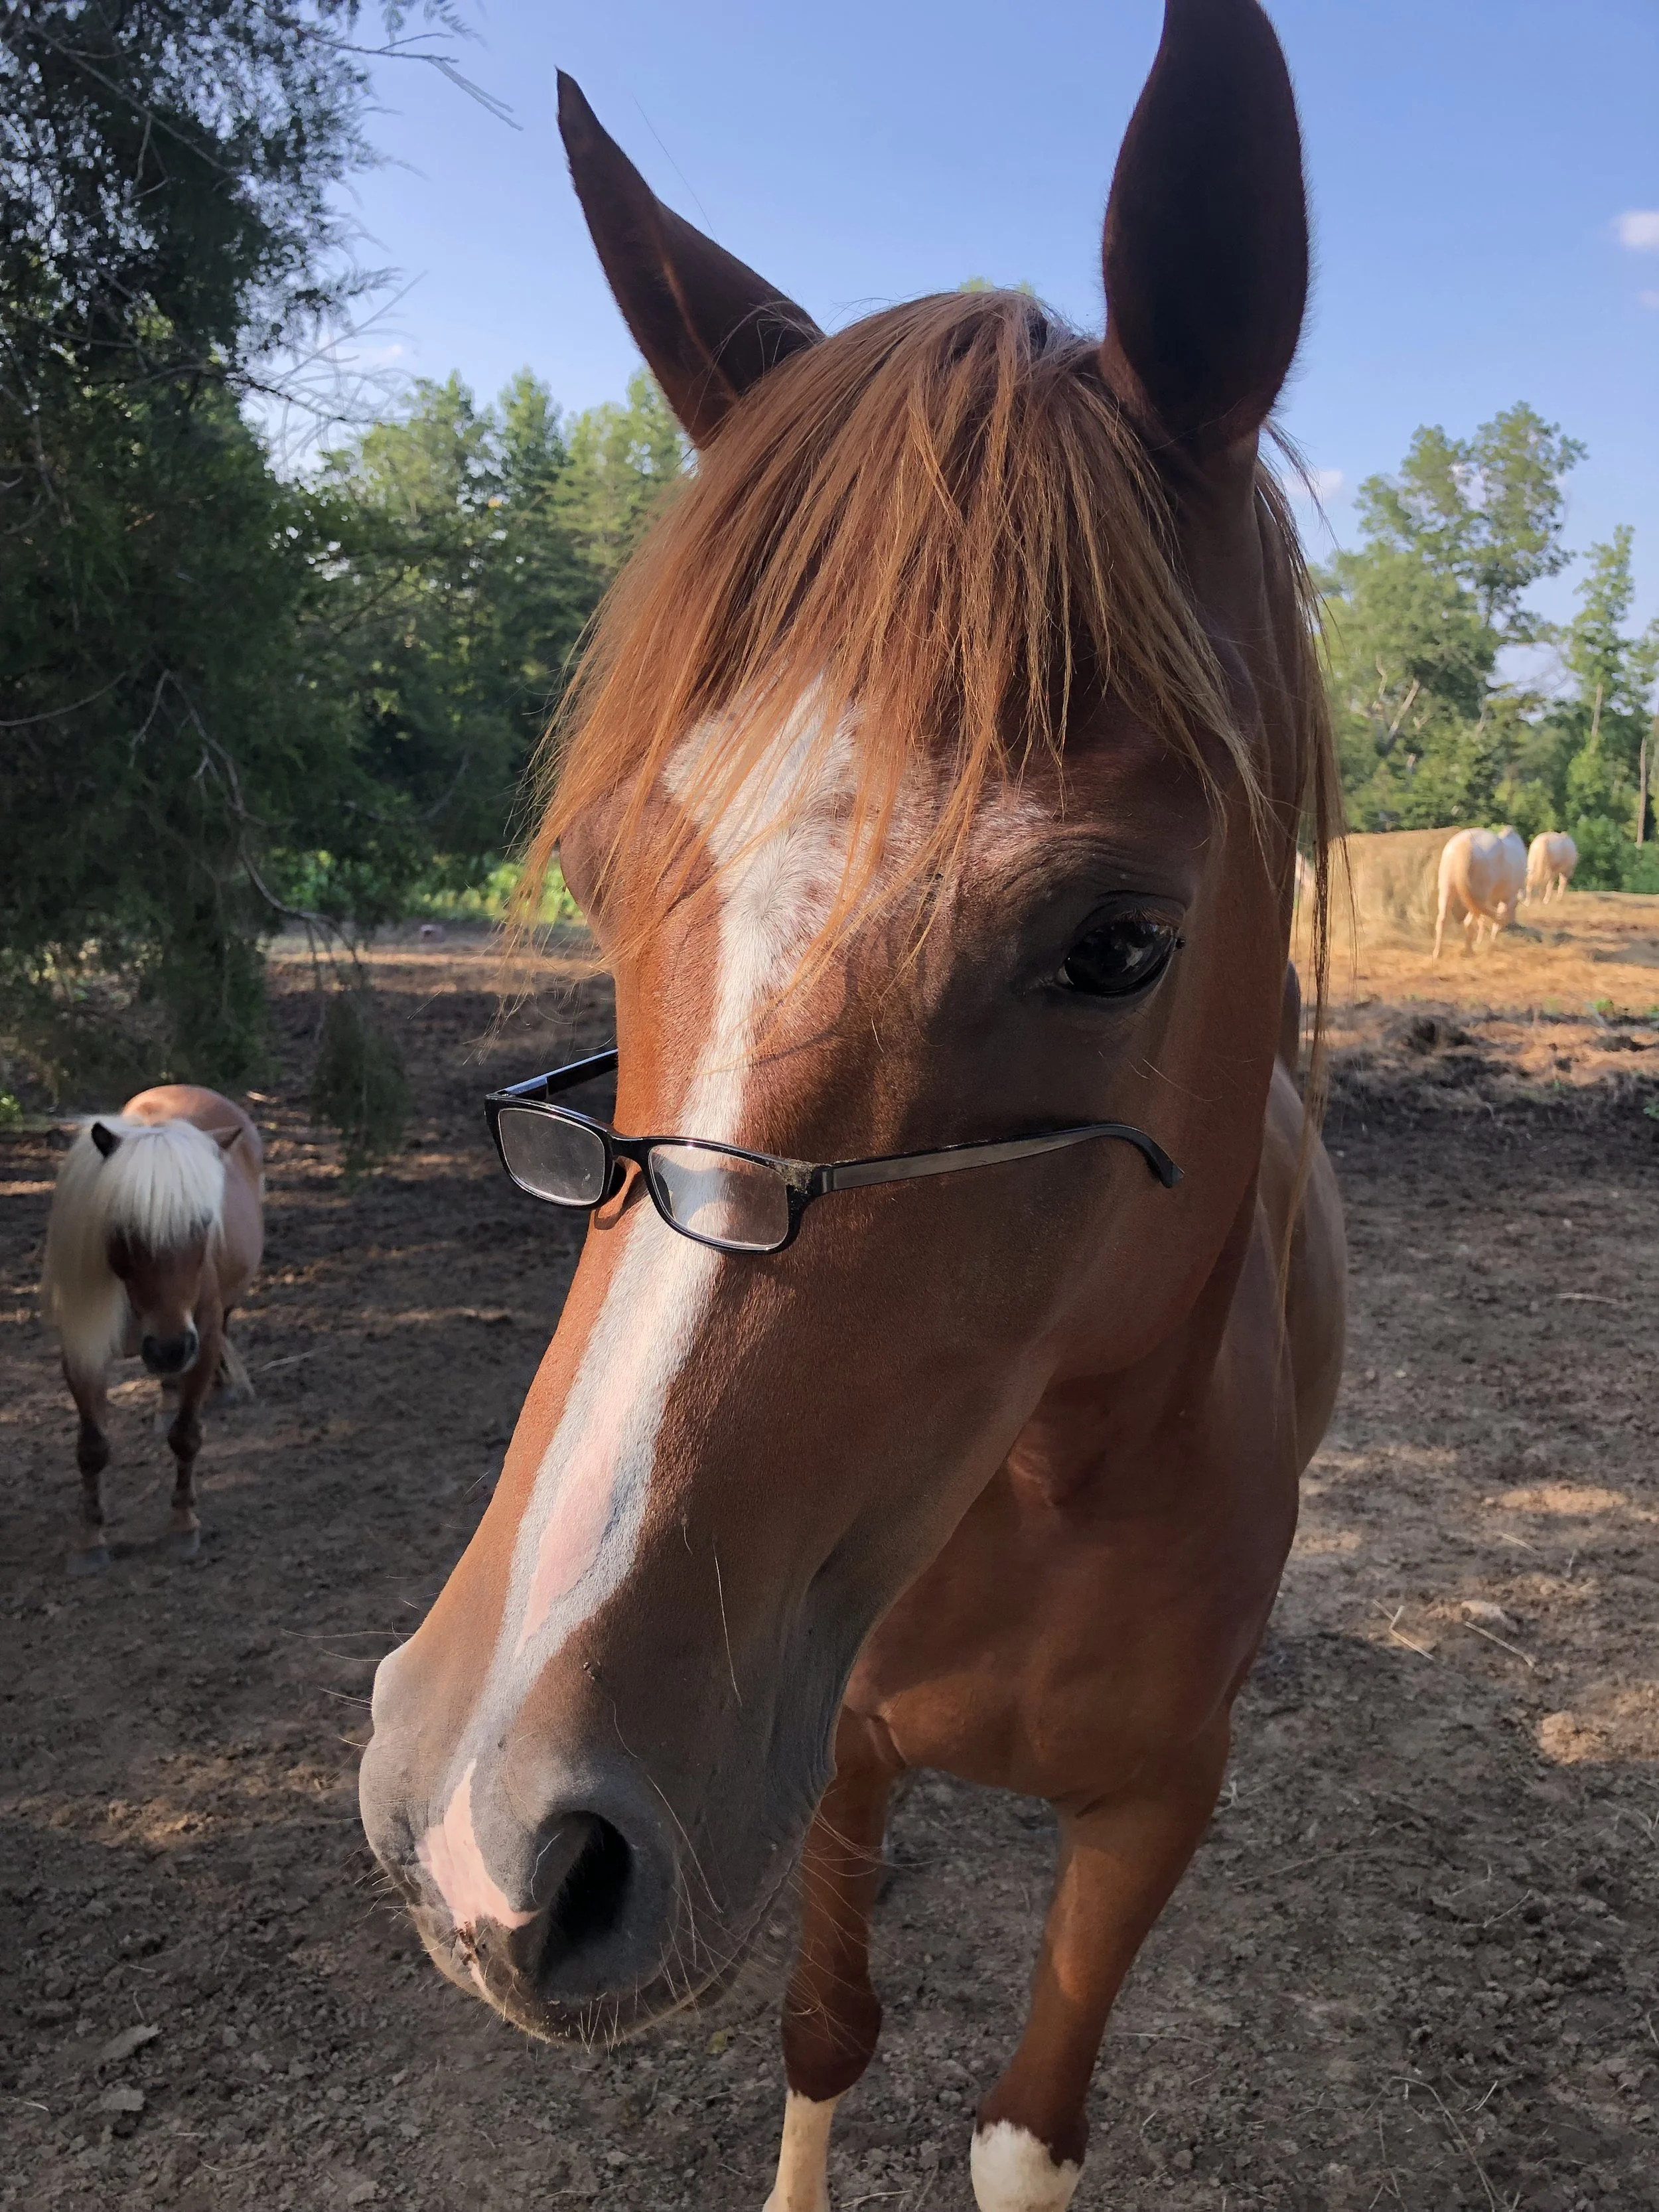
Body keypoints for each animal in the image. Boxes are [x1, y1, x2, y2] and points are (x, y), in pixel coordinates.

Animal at [41, 1085, 263, 1575]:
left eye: (204, 1222)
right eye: (125, 1227)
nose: (170, 1347)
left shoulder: (202, 1338)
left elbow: (186, 1436)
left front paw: (182, 1524)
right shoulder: (83, 1351)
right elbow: (92, 1447)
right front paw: (89, 1539)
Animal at [359, 4, 1348, 2206]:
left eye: (1116, 944)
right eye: (600, 879)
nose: (481, 1822)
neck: (1051, 1487)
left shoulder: (1152, 1813)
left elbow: (1021, 2132)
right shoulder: (830, 1765)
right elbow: (823, 2035)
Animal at [1433, 826, 1527, 960]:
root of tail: (1465, 843)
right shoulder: (1507, 899)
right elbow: (1496, 921)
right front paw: (1492, 944)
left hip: (1447, 890)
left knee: (1442, 919)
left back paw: (1438, 953)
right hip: (1478, 896)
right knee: (1470, 922)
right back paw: (1469, 950)